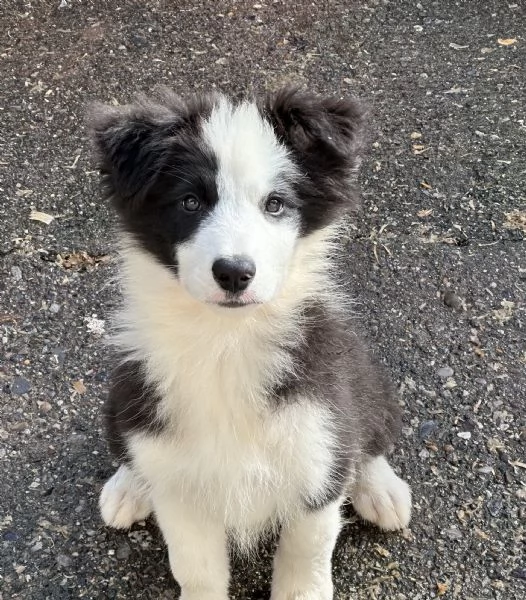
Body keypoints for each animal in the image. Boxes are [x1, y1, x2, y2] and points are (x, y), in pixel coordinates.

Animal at [89, 89, 412, 600]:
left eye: (275, 204)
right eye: (190, 201)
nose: (234, 273)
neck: (226, 341)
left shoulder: (318, 447)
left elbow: (306, 552)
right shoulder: (180, 492)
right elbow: (196, 567)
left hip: (365, 377)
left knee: (370, 438)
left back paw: (381, 490)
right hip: (124, 399)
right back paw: (129, 488)